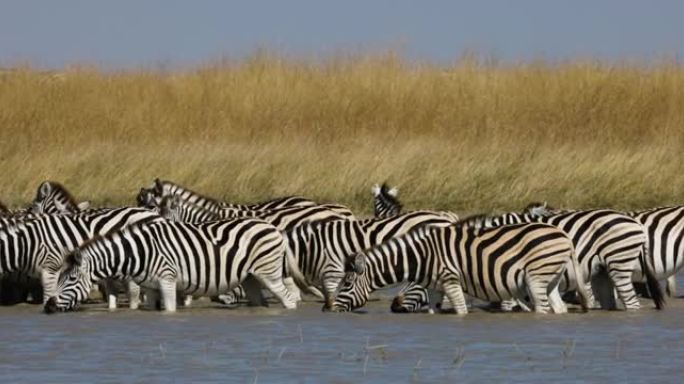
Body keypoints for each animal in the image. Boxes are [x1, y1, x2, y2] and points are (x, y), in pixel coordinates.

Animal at [45, 218, 304, 314]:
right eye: (59, 278)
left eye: (70, 279)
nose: (48, 306)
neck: (140, 252)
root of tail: (274, 228)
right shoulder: (150, 287)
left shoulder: (167, 279)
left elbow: (169, 309)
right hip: (251, 277)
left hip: (269, 273)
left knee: (288, 299)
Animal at [328, 219, 592, 316]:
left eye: (347, 284)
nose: (327, 310)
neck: (421, 256)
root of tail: (564, 236)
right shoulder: (435, 287)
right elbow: (433, 311)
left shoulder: (451, 279)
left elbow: (461, 311)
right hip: (552, 278)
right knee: (559, 308)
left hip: (536, 277)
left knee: (543, 308)